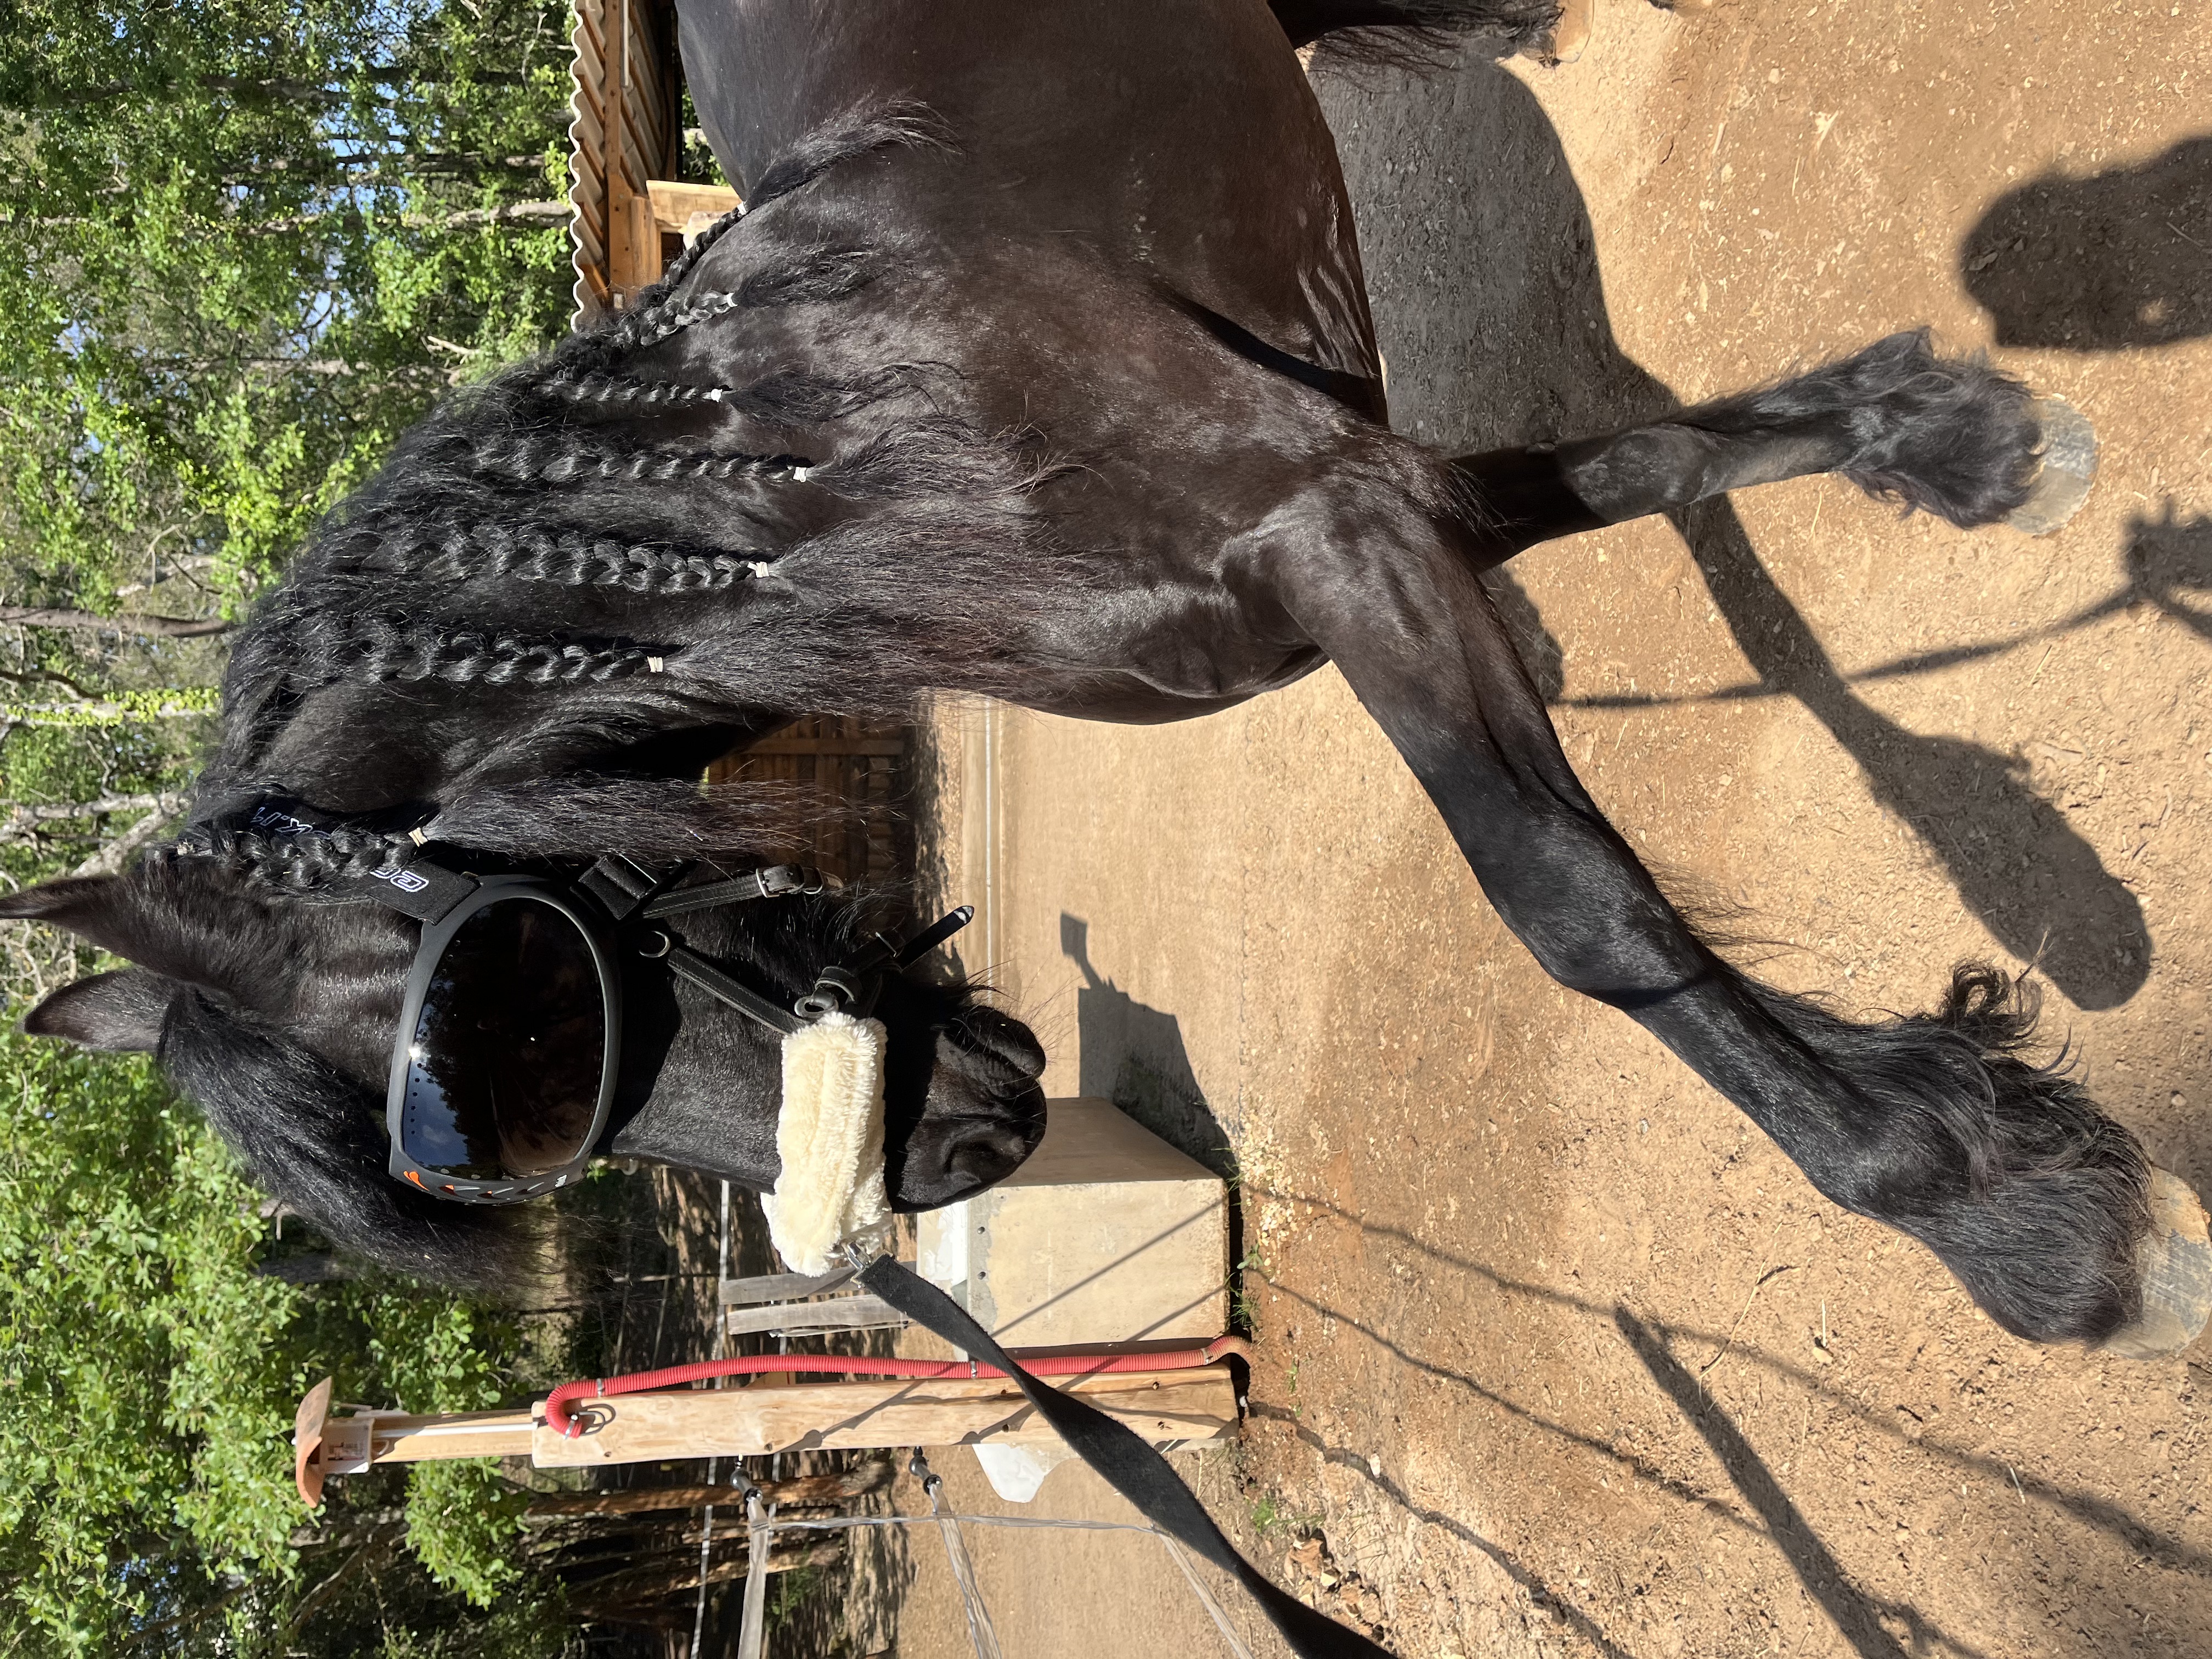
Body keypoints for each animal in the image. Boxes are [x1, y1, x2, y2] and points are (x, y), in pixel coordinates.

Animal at [6, 0, 2202, 1357]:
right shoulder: (1380, 508)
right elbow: (1646, 470)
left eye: (510, 1013)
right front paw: (1952, 443)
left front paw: (2010, 1220)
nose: (954, 1153)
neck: (840, 449)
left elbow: (1572, 909)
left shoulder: (1338, 529)